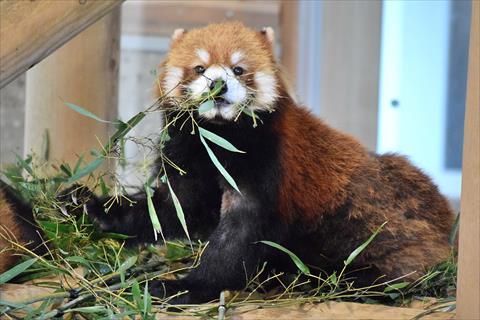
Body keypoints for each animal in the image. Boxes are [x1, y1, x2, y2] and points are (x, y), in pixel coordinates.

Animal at [39, 21, 456, 302]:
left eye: (238, 69)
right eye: (200, 68)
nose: (218, 84)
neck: (219, 138)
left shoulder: (268, 158)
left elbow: (242, 229)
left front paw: (187, 286)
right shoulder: (188, 154)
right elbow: (174, 208)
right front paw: (88, 206)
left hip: (371, 231)